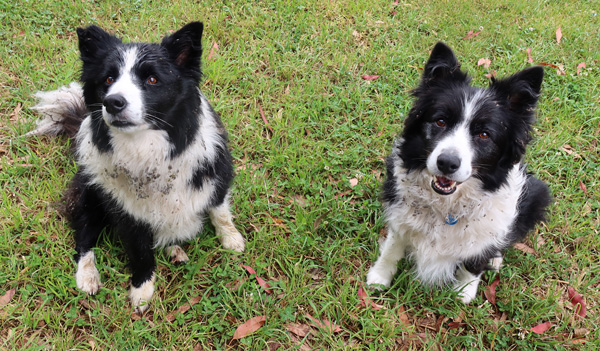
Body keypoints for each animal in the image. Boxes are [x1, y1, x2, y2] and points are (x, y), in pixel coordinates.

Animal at [364, 42, 552, 304]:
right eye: (440, 121)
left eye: (484, 134)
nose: (447, 163)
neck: (447, 207)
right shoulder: (399, 216)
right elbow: (392, 247)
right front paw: (380, 277)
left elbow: (474, 262)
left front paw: (464, 292)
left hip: (537, 194)